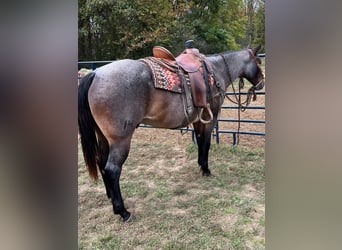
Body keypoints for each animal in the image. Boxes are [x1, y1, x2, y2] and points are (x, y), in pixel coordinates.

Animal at [77, 46, 264, 222]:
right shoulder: (210, 119)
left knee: (101, 163)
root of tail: (95, 74)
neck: (216, 70)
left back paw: (110, 195)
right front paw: (206, 170)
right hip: (120, 140)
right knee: (112, 169)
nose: (261, 83)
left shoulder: (198, 120)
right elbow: (206, 144)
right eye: (259, 62)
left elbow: (200, 142)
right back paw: (122, 211)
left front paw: (201, 166)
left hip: (103, 137)